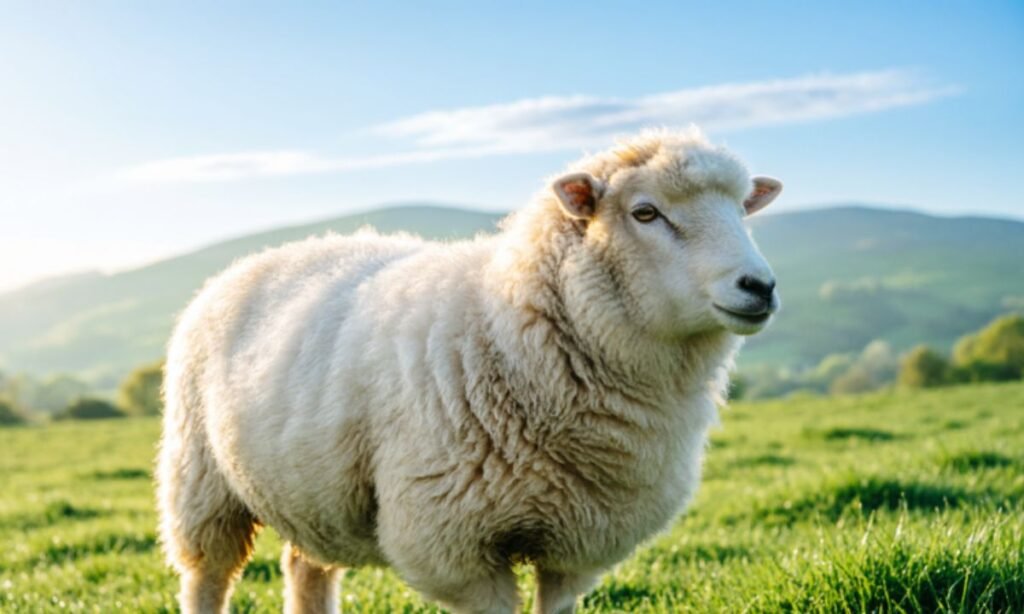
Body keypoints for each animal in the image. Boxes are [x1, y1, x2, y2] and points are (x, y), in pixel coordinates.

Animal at [156, 128, 782, 614]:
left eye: (741, 211)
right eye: (645, 212)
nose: (760, 286)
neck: (505, 325)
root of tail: (260, 257)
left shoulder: (577, 545)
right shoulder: (455, 545)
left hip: (312, 490)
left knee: (305, 566)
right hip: (202, 480)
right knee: (207, 576)